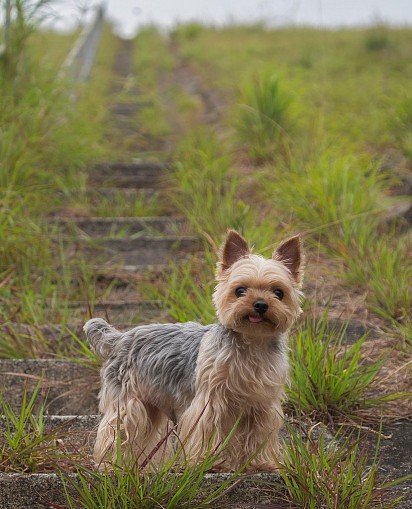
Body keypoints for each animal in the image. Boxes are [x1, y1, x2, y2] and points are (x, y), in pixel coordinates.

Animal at [84, 229, 302, 468]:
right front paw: (209, 461)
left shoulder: (262, 404)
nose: (261, 304)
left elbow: (260, 433)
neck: (253, 341)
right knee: (117, 428)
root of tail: (120, 337)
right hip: (127, 400)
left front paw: (260, 463)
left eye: (279, 292)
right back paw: (110, 464)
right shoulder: (211, 400)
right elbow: (208, 427)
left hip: (151, 402)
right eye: (240, 290)